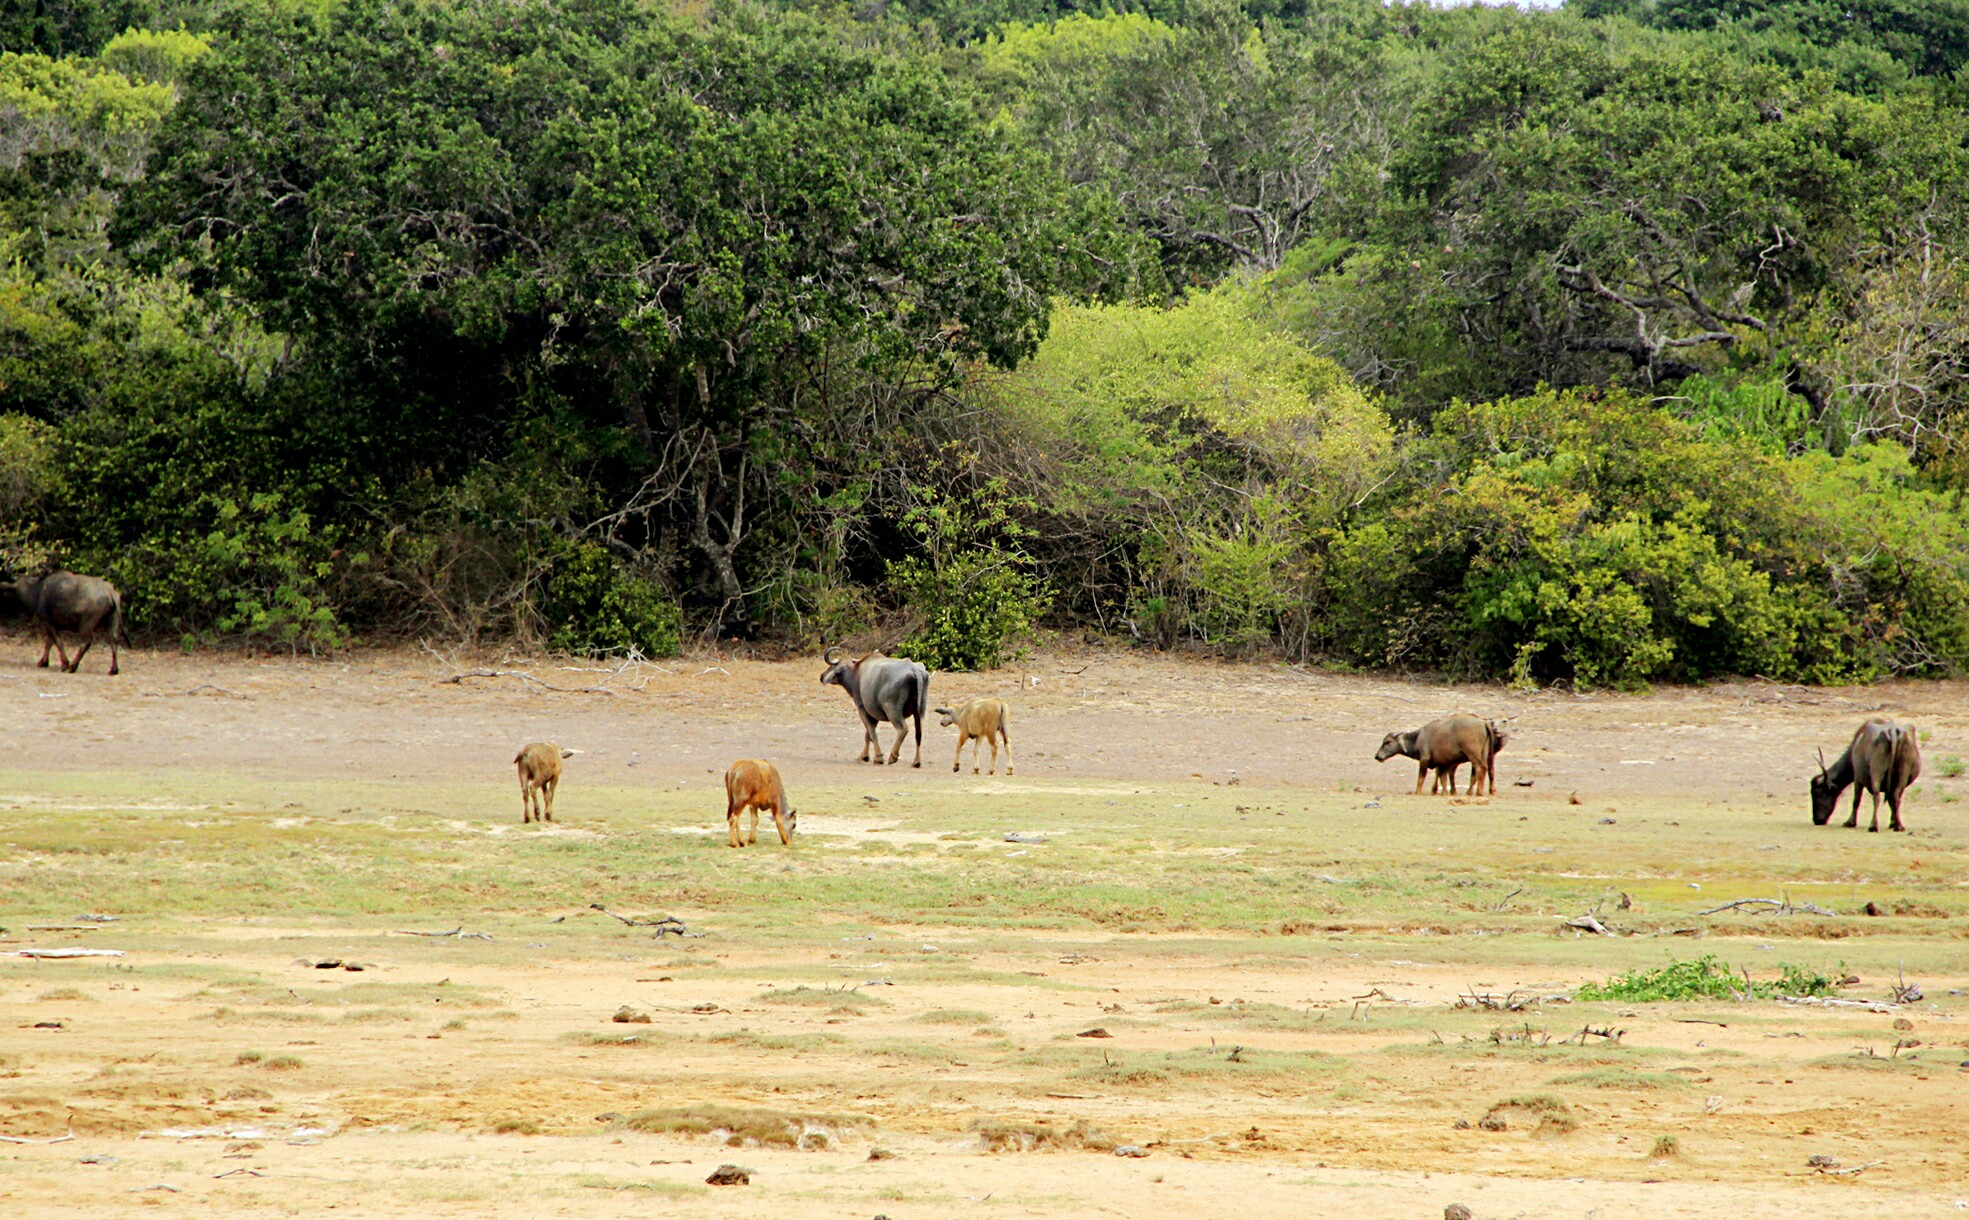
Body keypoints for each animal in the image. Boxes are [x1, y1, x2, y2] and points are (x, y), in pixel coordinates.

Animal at [1370, 716, 1504, 798]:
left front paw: (1417, 792)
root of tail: (1483, 722)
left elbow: (1421, 778)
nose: (1377, 756)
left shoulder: (1424, 761)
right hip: (1485, 755)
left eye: (1387, 742)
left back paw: (1478, 792)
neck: (1419, 737)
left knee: (1480, 768)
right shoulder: (1443, 764)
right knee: (1486, 770)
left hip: (1473, 755)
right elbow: (1442, 779)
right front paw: (1444, 792)